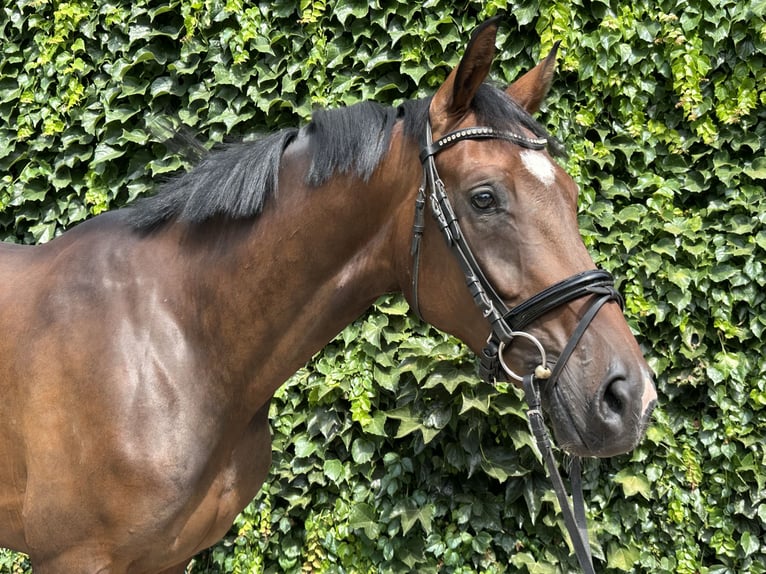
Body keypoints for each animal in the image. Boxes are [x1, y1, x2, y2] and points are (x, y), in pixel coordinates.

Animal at [0, 19, 656, 573]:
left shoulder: (169, 558)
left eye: (571, 193)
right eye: (485, 198)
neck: (177, 340)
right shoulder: (75, 558)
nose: (630, 397)